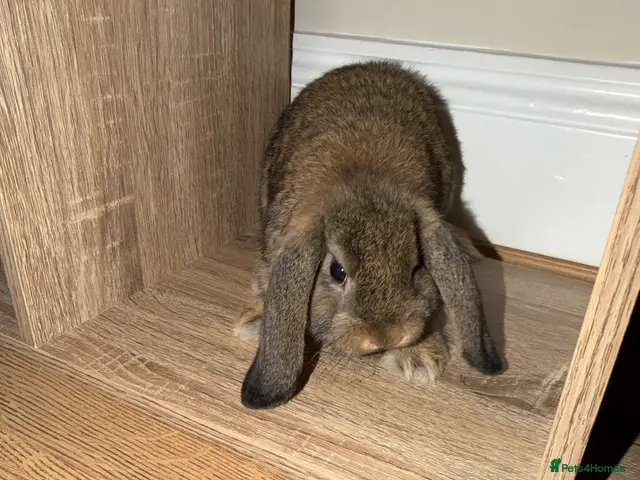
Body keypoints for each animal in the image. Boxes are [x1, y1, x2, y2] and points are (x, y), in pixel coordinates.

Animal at [234, 59, 504, 410]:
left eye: (417, 265)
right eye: (337, 271)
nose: (386, 336)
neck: (362, 181)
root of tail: (371, 65)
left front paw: (418, 359)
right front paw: (256, 318)